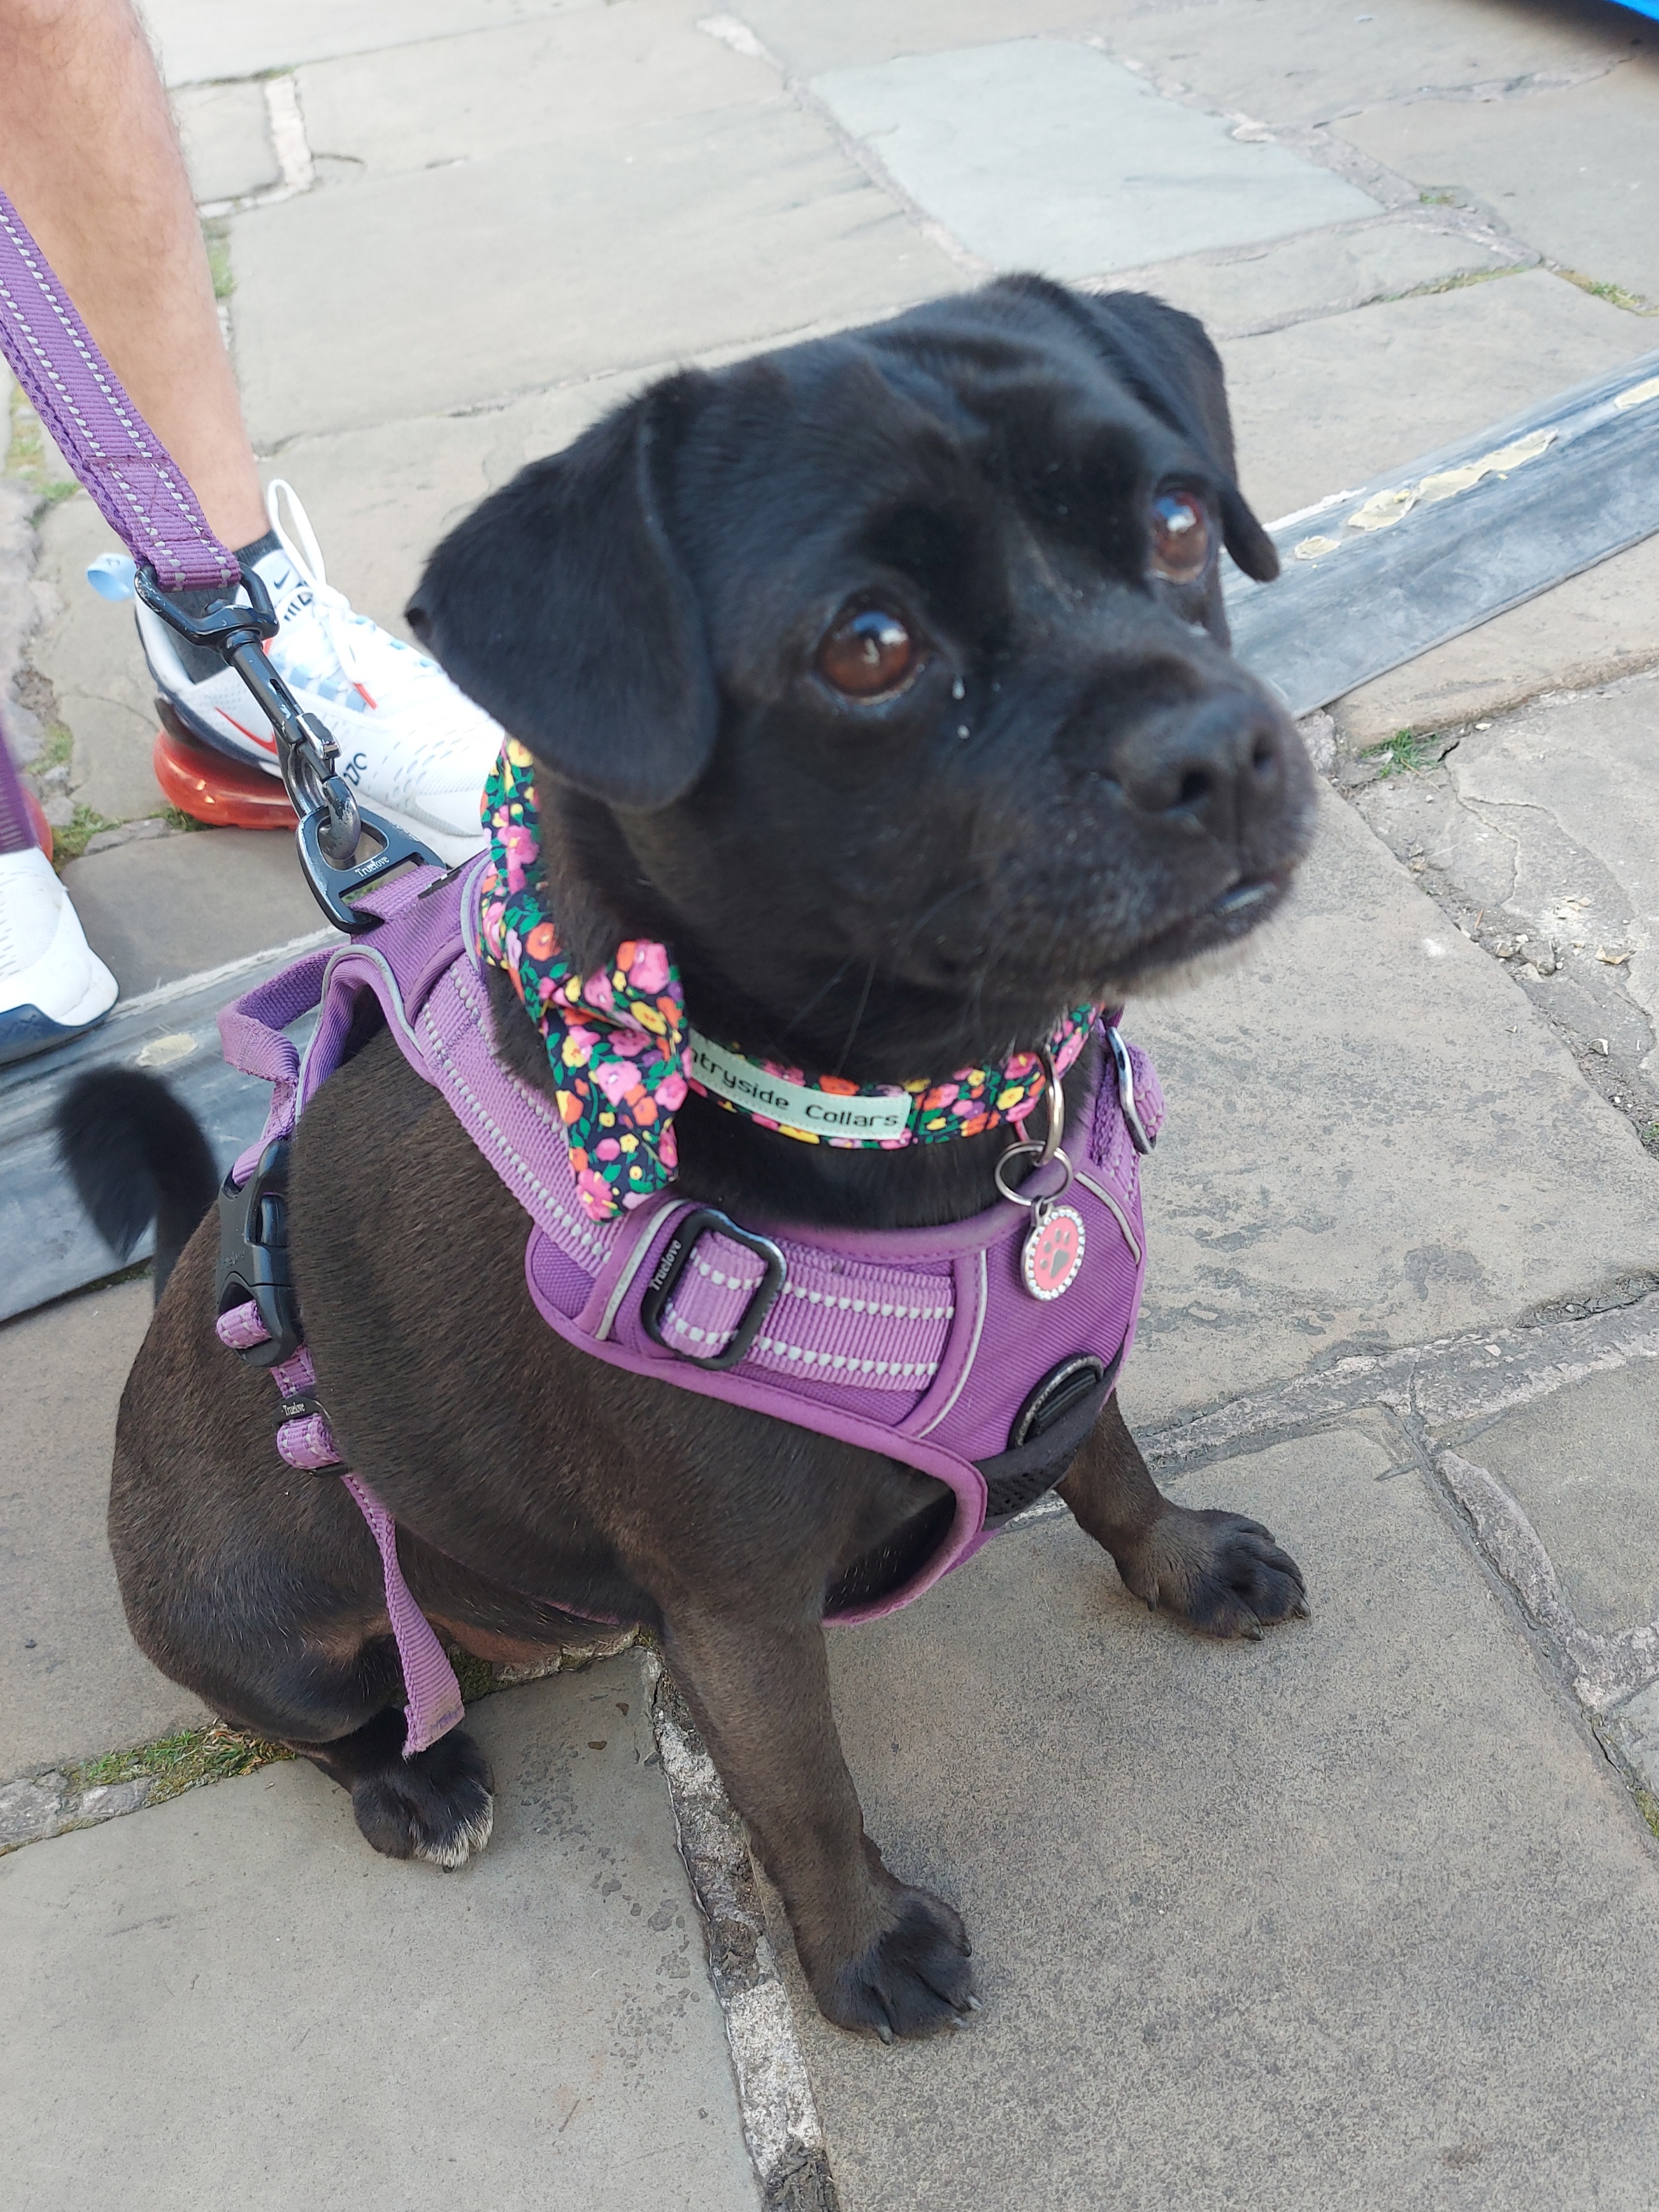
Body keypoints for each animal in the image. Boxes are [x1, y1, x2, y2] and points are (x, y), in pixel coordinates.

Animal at [62, 285, 1309, 2043]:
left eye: (1179, 516)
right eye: (867, 646)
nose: (1221, 745)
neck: (927, 1121)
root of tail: (207, 1278)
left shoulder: (1059, 1376)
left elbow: (1109, 1464)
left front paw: (1183, 1560)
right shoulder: (739, 1610)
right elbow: (800, 1788)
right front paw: (862, 1947)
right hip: (264, 1623)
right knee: (332, 1716)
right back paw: (416, 1776)